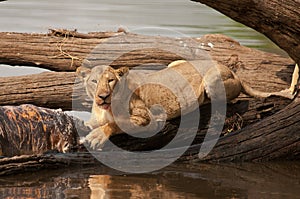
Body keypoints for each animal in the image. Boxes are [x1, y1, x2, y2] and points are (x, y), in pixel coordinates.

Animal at [78, 60, 296, 149]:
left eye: (110, 80)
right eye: (94, 81)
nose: (102, 96)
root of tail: (235, 73)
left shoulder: (149, 119)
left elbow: (115, 124)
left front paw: (96, 136)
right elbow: (91, 122)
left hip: (212, 79)